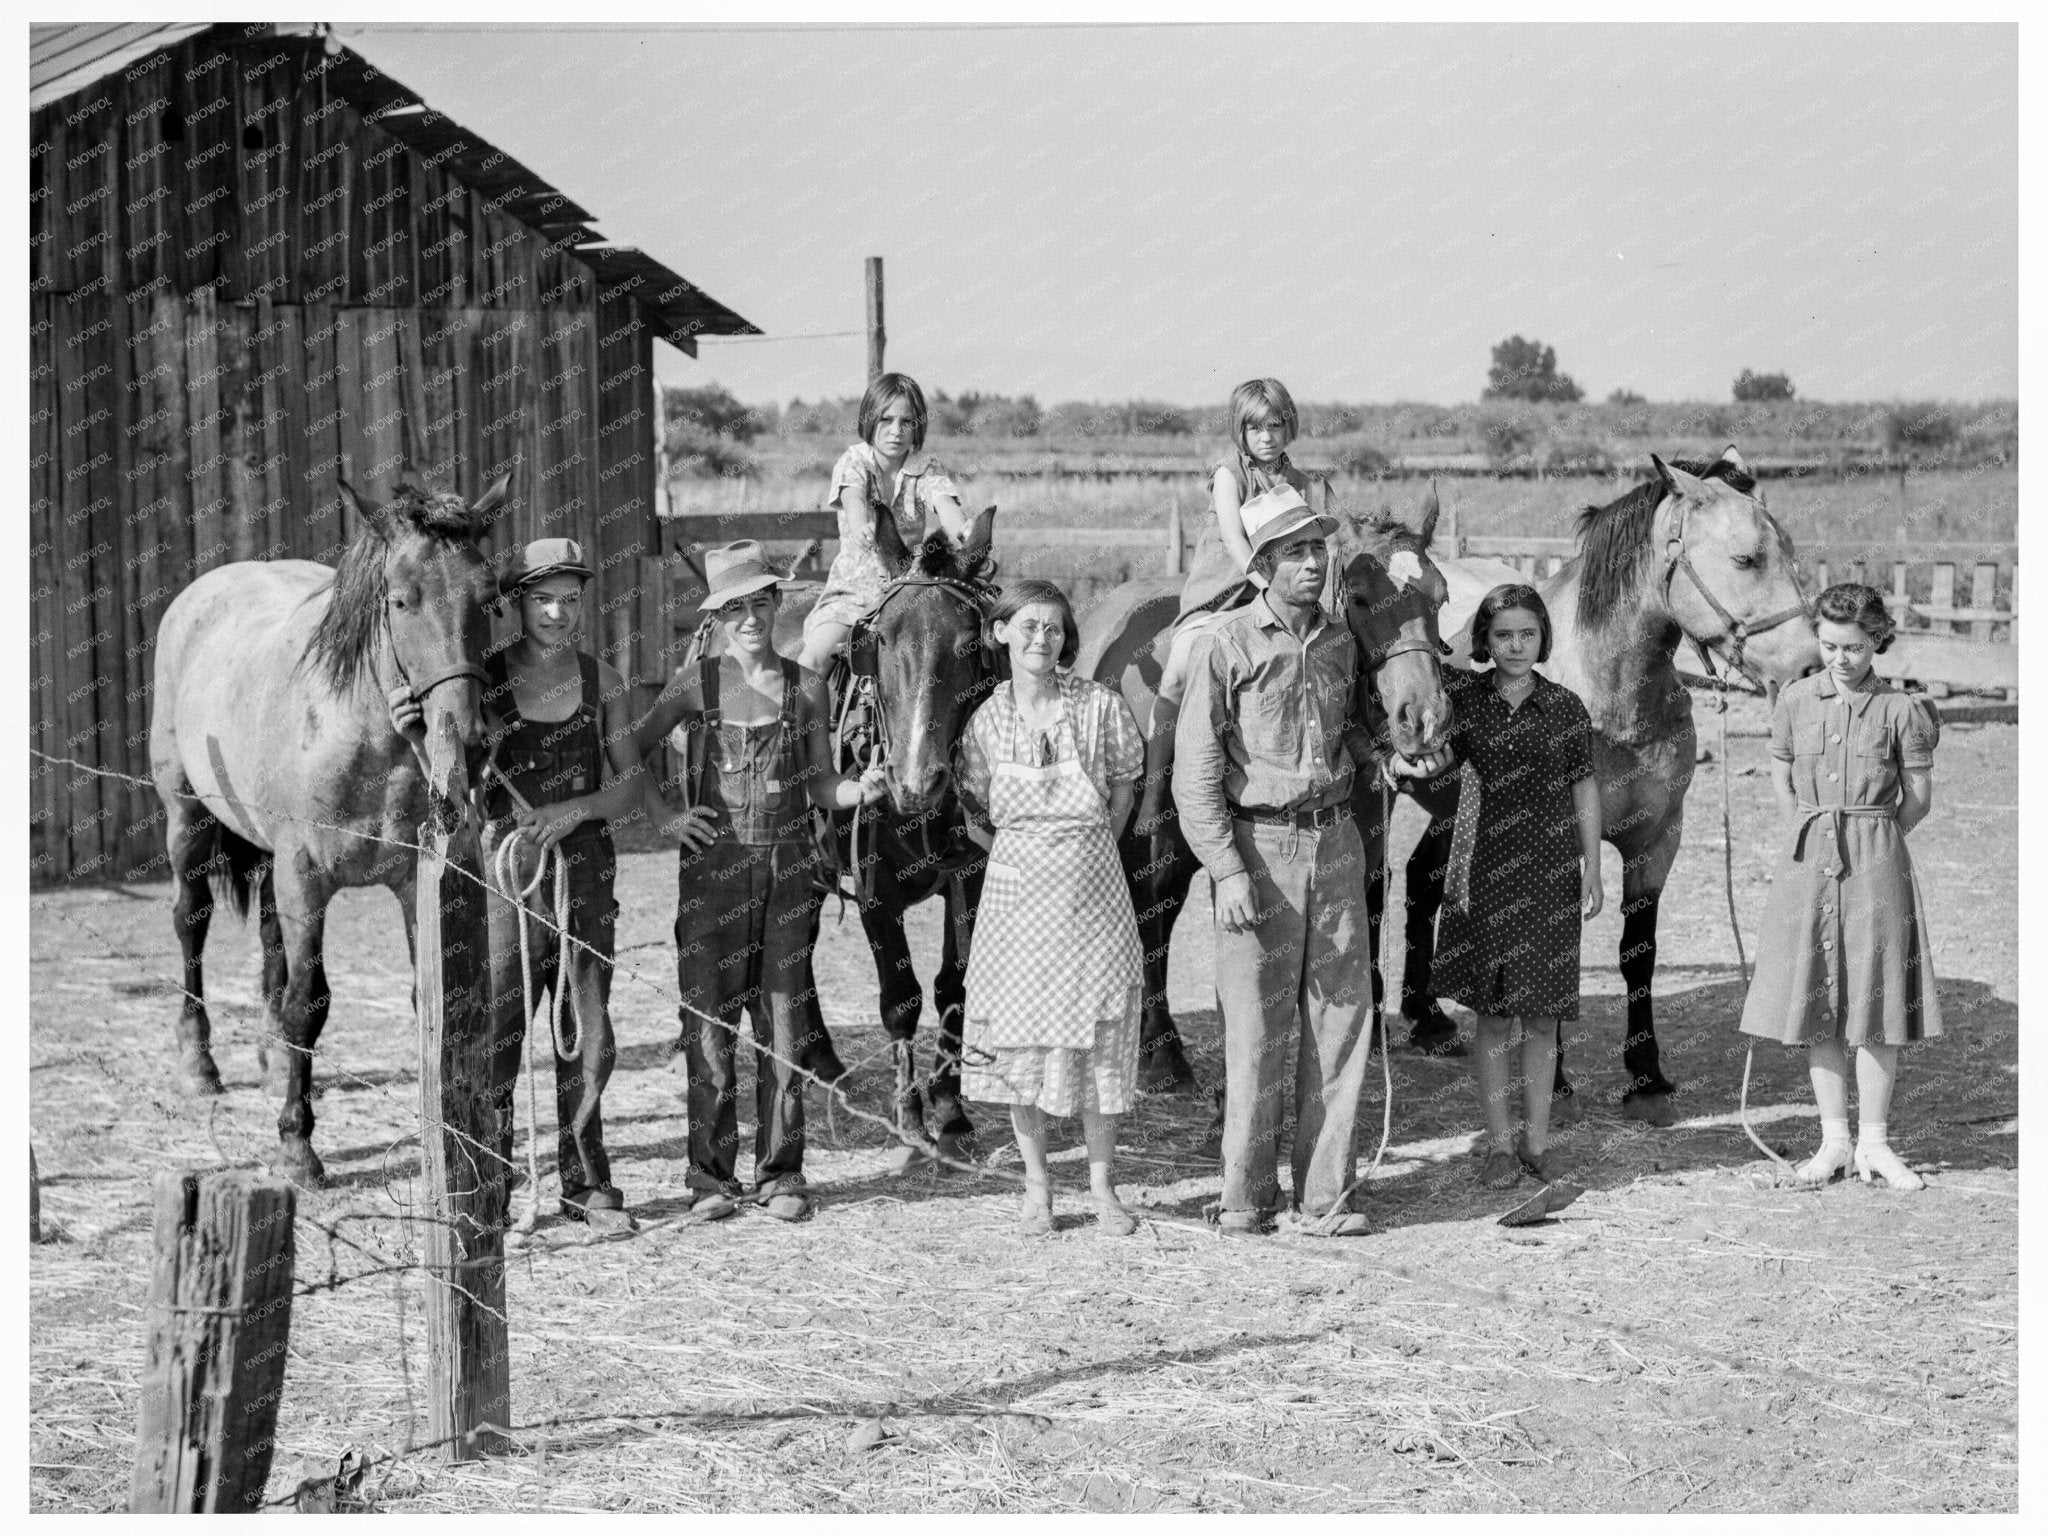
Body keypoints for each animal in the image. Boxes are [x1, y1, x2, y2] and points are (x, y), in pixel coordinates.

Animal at [148, 475, 507, 1187]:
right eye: (400, 600)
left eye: (489, 596)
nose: (469, 741)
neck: (362, 737)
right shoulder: (306, 879)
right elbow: (308, 1002)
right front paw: (296, 1145)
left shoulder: (413, 882)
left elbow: (428, 1001)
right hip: (188, 820)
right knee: (190, 922)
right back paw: (198, 1065)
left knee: (268, 943)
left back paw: (269, 1058)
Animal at [1081, 481, 1466, 1097]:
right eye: (1360, 598)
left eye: (1440, 596)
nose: (1424, 720)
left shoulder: (1364, 829)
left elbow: (1370, 900)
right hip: (1160, 833)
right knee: (1152, 909)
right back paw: (1160, 1052)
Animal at [1400, 444, 1818, 1122]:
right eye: (1745, 558)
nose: (1809, 668)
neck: (1609, 700)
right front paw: (1554, 1077)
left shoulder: (1657, 840)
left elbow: (1637, 954)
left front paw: (1646, 1073)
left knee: (1421, 882)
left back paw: (1428, 1018)